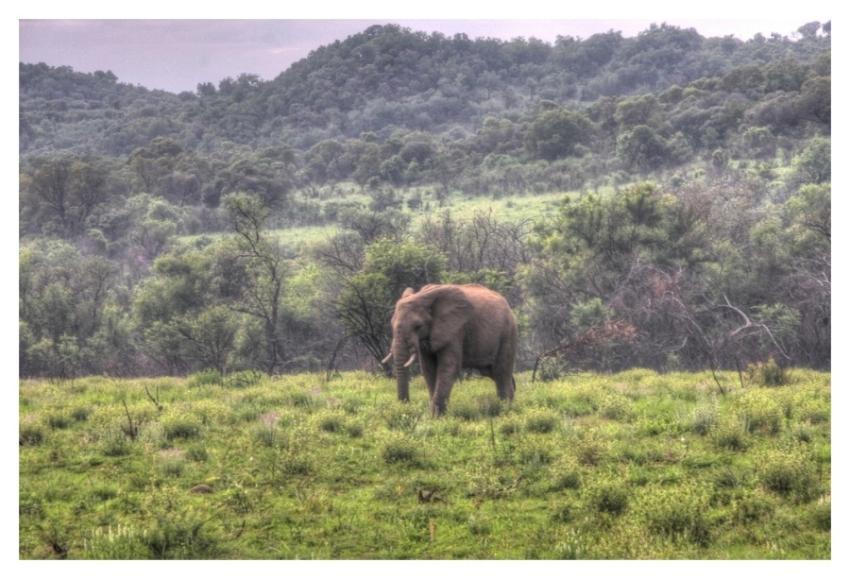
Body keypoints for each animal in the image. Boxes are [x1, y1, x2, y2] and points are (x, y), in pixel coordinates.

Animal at [381, 283, 517, 416]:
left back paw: (505, 410)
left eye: (418, 326)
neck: (423, 296)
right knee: (492, 372)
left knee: (500, 371)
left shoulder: (455, 330)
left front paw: (436, 417)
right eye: (391, 324)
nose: (405, 407)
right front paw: (435, 416)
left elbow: (448, 367)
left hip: (507, 333)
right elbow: (428, 369)